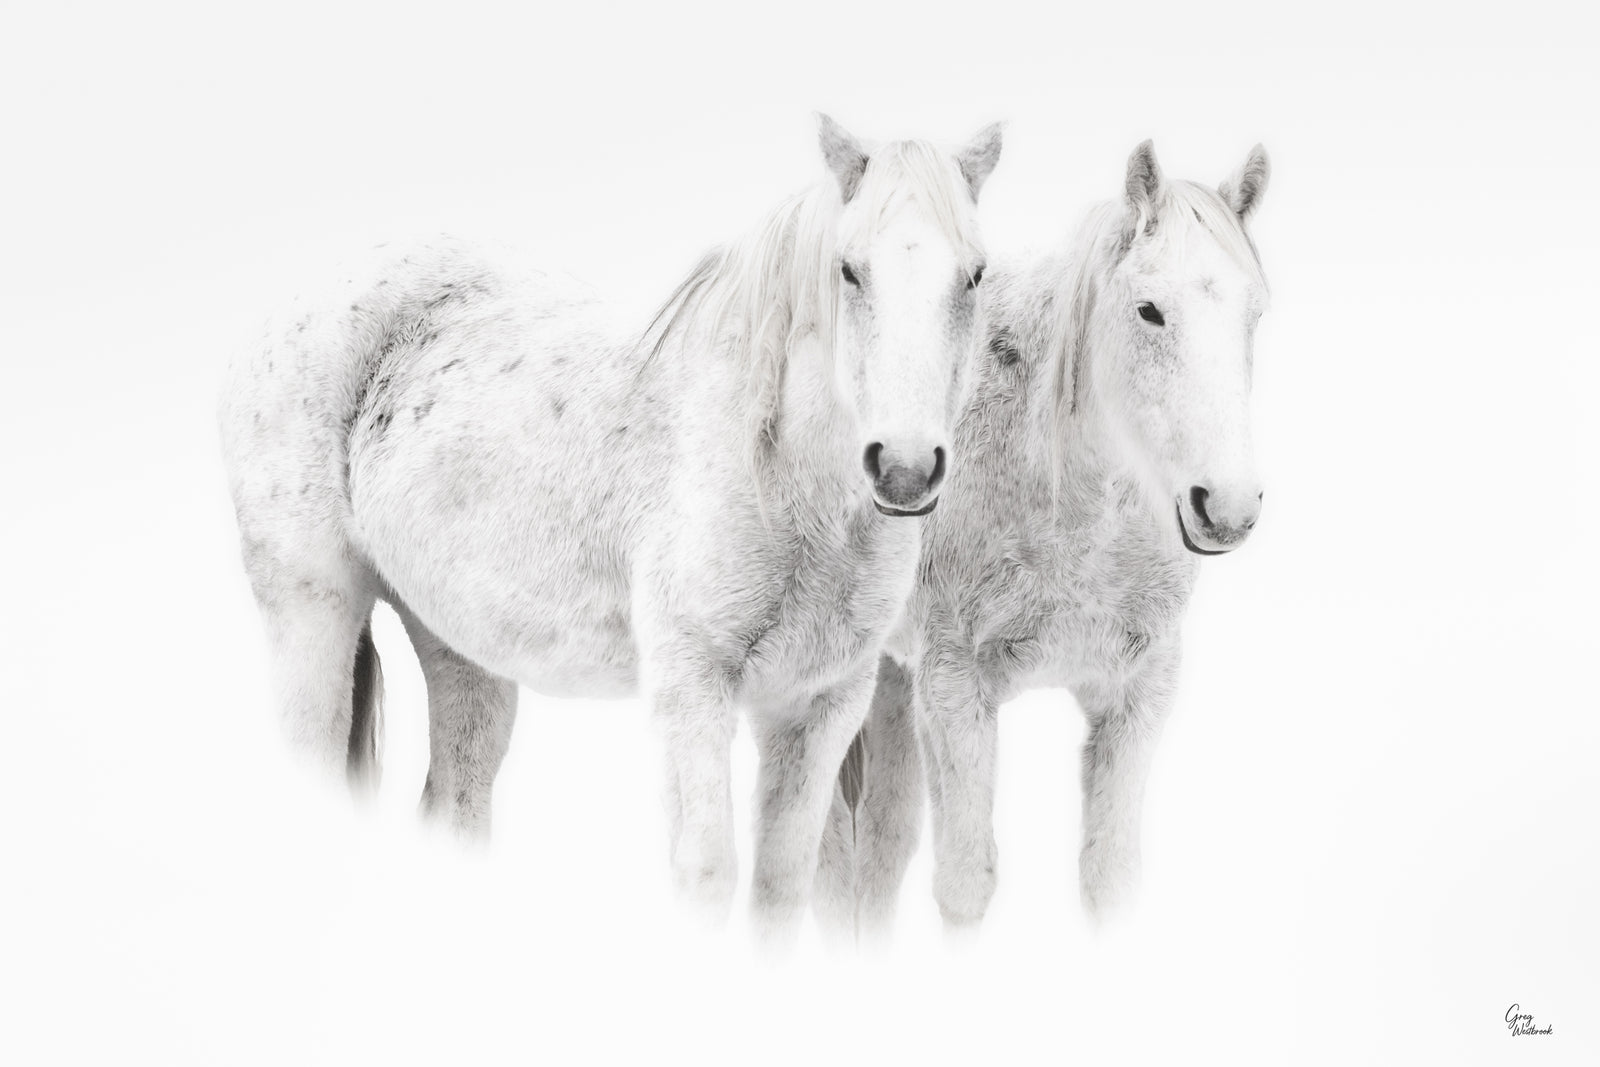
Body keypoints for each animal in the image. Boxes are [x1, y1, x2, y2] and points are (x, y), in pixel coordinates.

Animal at [218, 115, 1004, 940]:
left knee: (456, 802)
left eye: (975, 275)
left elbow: (781, 883)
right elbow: (707, 873)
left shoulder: (819, 705)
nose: (905, 469)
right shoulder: (692, 687)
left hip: (458, 642)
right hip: (312, 611)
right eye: (848, 270)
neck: (785, 485)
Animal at [813, 141, 1272, 937]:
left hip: (893, 679)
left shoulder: (1138, 696)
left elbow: (1110, 880)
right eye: (1149, 311)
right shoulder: (954, 689)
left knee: (882, 842)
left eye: (1253, 313)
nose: (1228, 507)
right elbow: (965, 884)